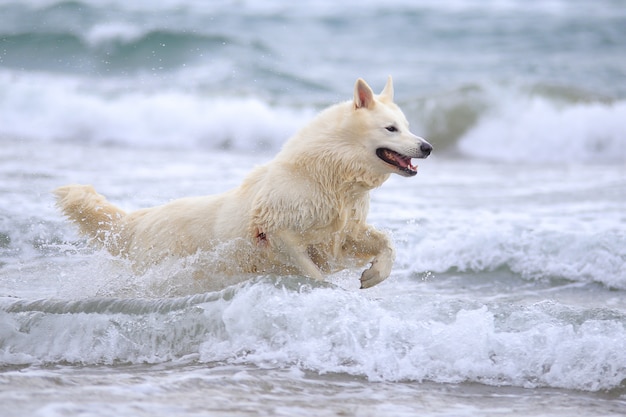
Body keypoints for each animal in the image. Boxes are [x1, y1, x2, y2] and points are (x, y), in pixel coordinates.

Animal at [56, 76, 428, 288]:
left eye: (409, 126)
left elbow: (386, 242)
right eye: (391, 128)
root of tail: (137, 220)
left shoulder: (343, 232)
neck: (329, 173)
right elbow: (311, 271)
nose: (427, 147)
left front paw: (375, 274)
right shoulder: (276, 233)